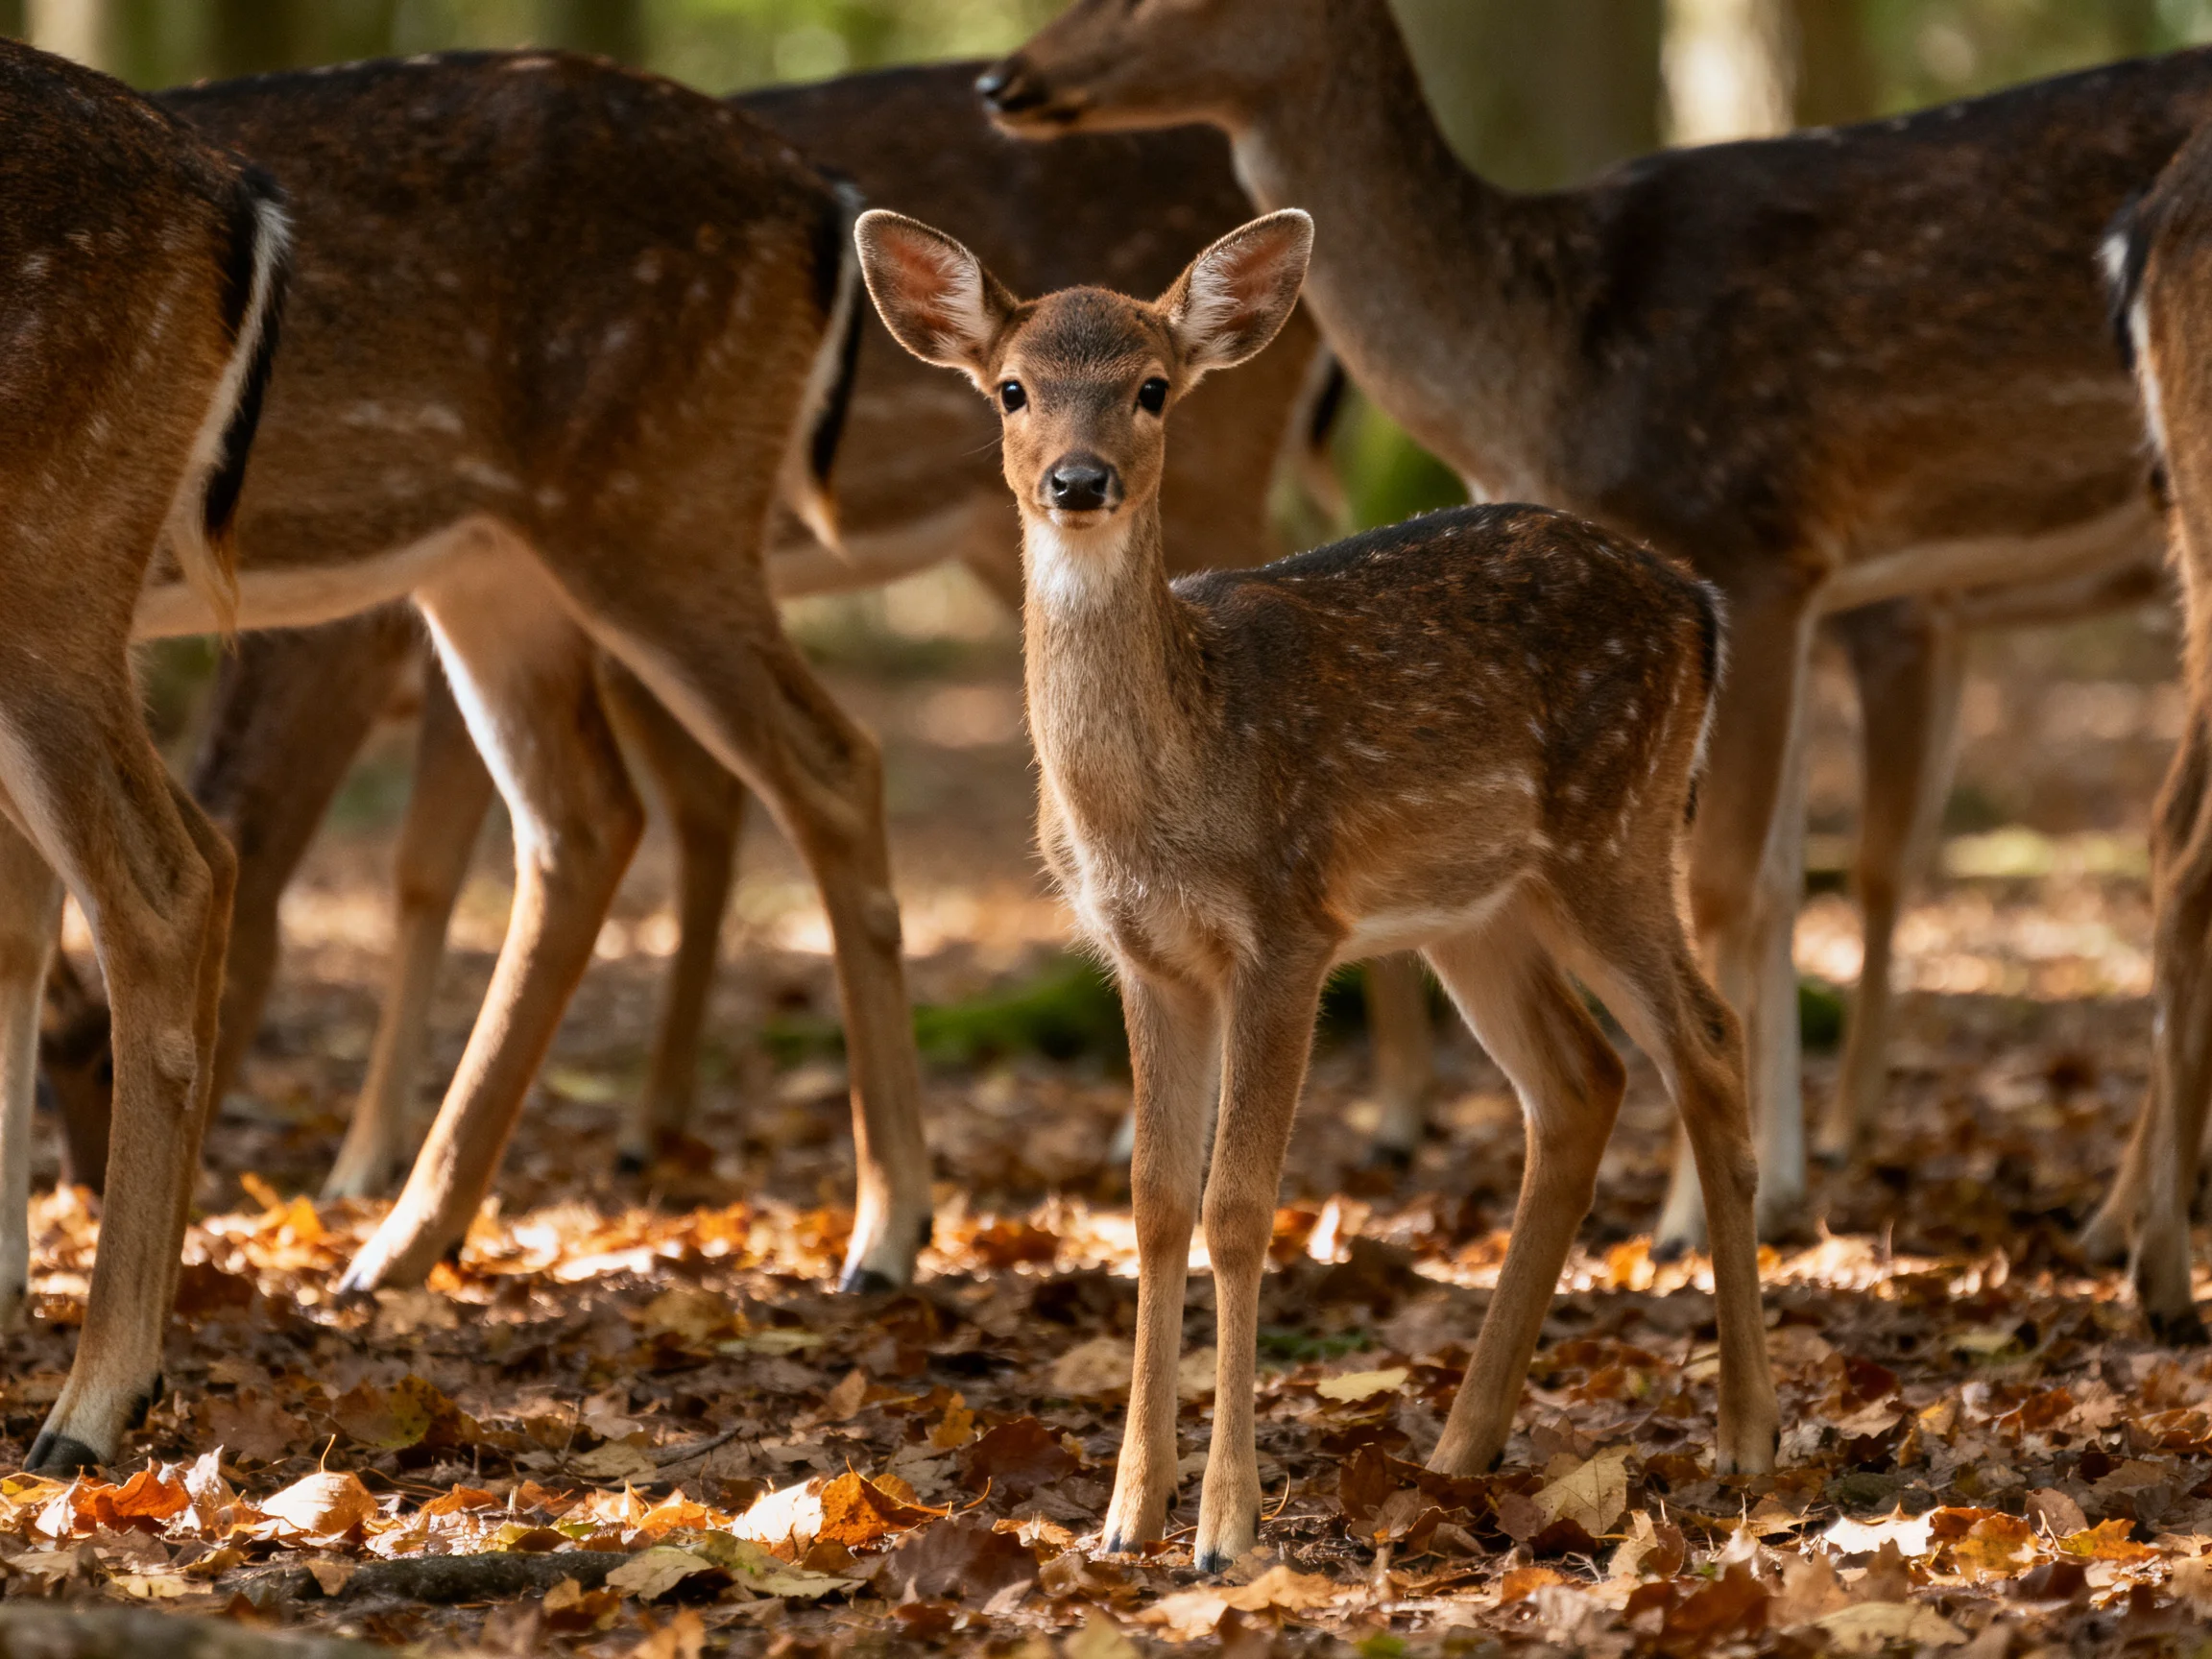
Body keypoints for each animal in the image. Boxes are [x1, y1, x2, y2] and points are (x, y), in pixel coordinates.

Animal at [855, 204, 1780, 1569]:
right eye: (1013, 388)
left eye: (1152, 388)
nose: (1078, 480)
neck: (1171, 789)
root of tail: (1701, 604)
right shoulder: (1145, 954)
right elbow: (1152, 1202)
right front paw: (1125, 1516)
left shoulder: (1287, 925)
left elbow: (1241, 1205)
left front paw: (1227, 1528)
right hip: (1478, 905)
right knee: (1580, 1080)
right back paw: (1461, 1445)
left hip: (1615, 831)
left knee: (1706, 1044)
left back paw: (1747, 1434)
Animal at [983, 0, 2203, 1256]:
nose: (1002, 77)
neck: (1541, 366)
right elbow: (1792, 874)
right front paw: (1788, 1182)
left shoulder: (1759, 541)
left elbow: (1737, 886)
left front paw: (1698, 1215)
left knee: (2172, 831)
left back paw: (2128, 1229)